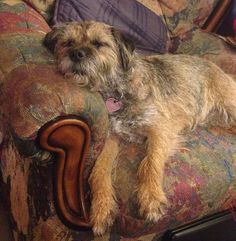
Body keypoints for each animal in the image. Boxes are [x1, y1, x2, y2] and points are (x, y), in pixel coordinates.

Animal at [44, 21, 236, 235]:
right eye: (68, 43)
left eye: (99, 43)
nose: (76, 54)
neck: (116, 91)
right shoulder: (112, 138)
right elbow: (98, 170)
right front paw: (101, 208)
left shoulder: (160, 128)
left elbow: (150, 162)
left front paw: (151, 197)